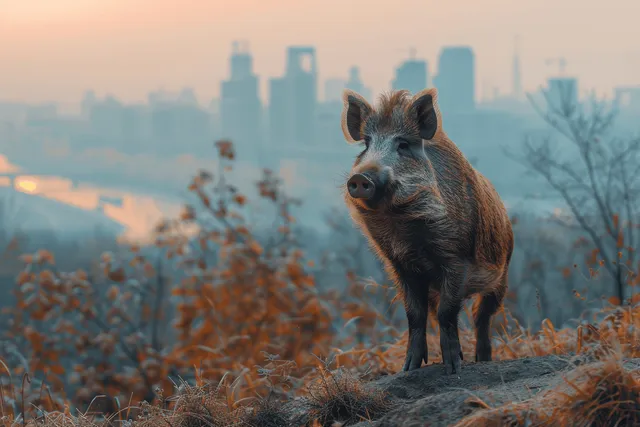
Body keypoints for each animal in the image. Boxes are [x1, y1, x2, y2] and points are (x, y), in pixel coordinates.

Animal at [340, 88, 514, 375]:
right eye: (366, 144)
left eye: (403, 145)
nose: (360, 178)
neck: (404, 225)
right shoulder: (399, 265)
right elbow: (415, 315)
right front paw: (408, 368)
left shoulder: (458, 259)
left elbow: (447, 312)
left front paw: (453, 368)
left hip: (502, 275)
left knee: (482, 316)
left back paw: (483, 360)